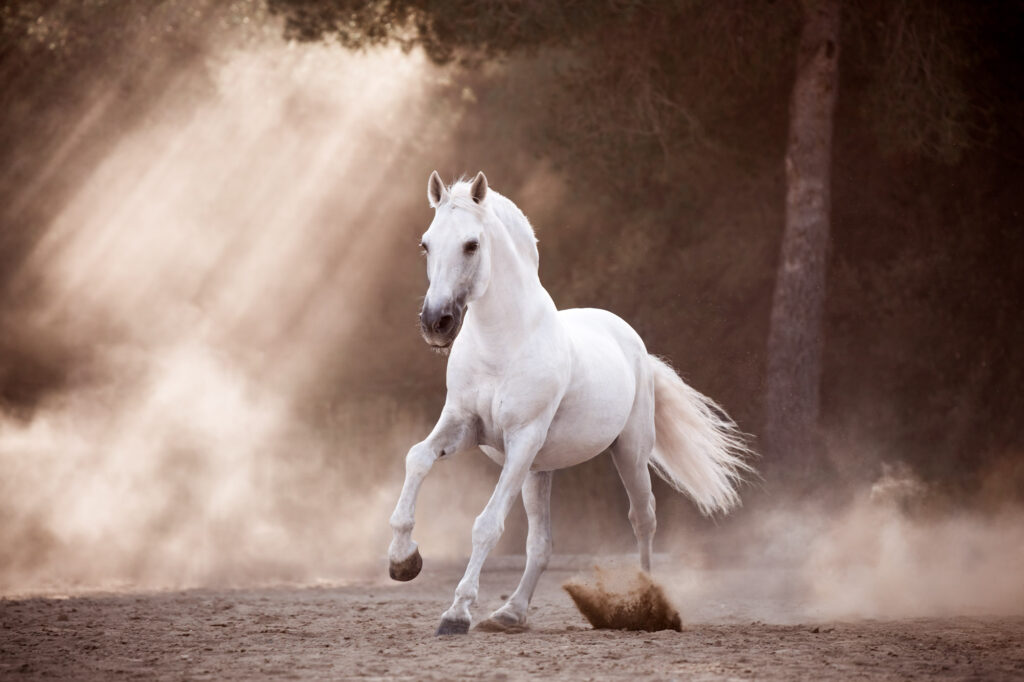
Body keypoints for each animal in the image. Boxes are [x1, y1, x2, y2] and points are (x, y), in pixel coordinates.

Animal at [387, 171, 753, 635]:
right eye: (426, 244)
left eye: (471, 244)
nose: (436, 323)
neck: (502, 343)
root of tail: (632, 341)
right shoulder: (464, 426)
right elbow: (417, 458)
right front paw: (404, 561)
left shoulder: (522, 439)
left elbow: (486, 525)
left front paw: (456, 613)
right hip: (538, 471)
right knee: (542, 544)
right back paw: (510, 614)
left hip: (629, 452)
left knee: (643, 519)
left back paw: (647, 607)